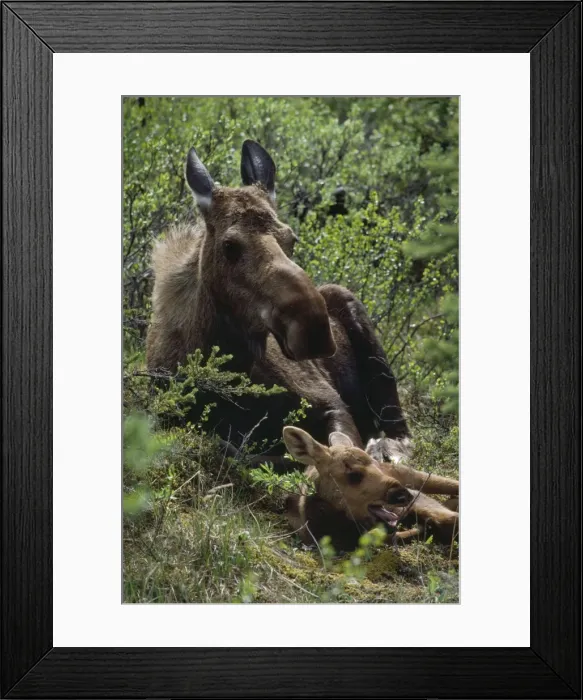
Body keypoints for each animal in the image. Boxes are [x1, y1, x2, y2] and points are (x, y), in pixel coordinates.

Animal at [146, 140, 409, 468]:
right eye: (230, 246)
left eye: (291, 238)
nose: (314, 331)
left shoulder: (329, 400)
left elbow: (338, 446)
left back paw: (387, 449)